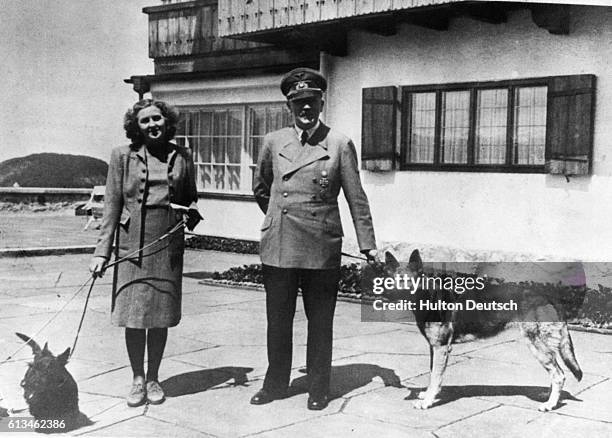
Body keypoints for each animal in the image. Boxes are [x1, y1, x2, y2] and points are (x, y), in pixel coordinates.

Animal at [366, 250, 584, 410]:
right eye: (391, 279)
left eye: (407, 281)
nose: (387, 294)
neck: (428, 296)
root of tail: (548, 295)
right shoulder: (434, 348)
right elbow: (431, 374)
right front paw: (428, 395)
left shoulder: (441, 348)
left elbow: (436, 377)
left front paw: (428, 401)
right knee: (556, 373)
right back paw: (548, 396)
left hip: (536, 345)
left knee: (559, 374)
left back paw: (549, 404)